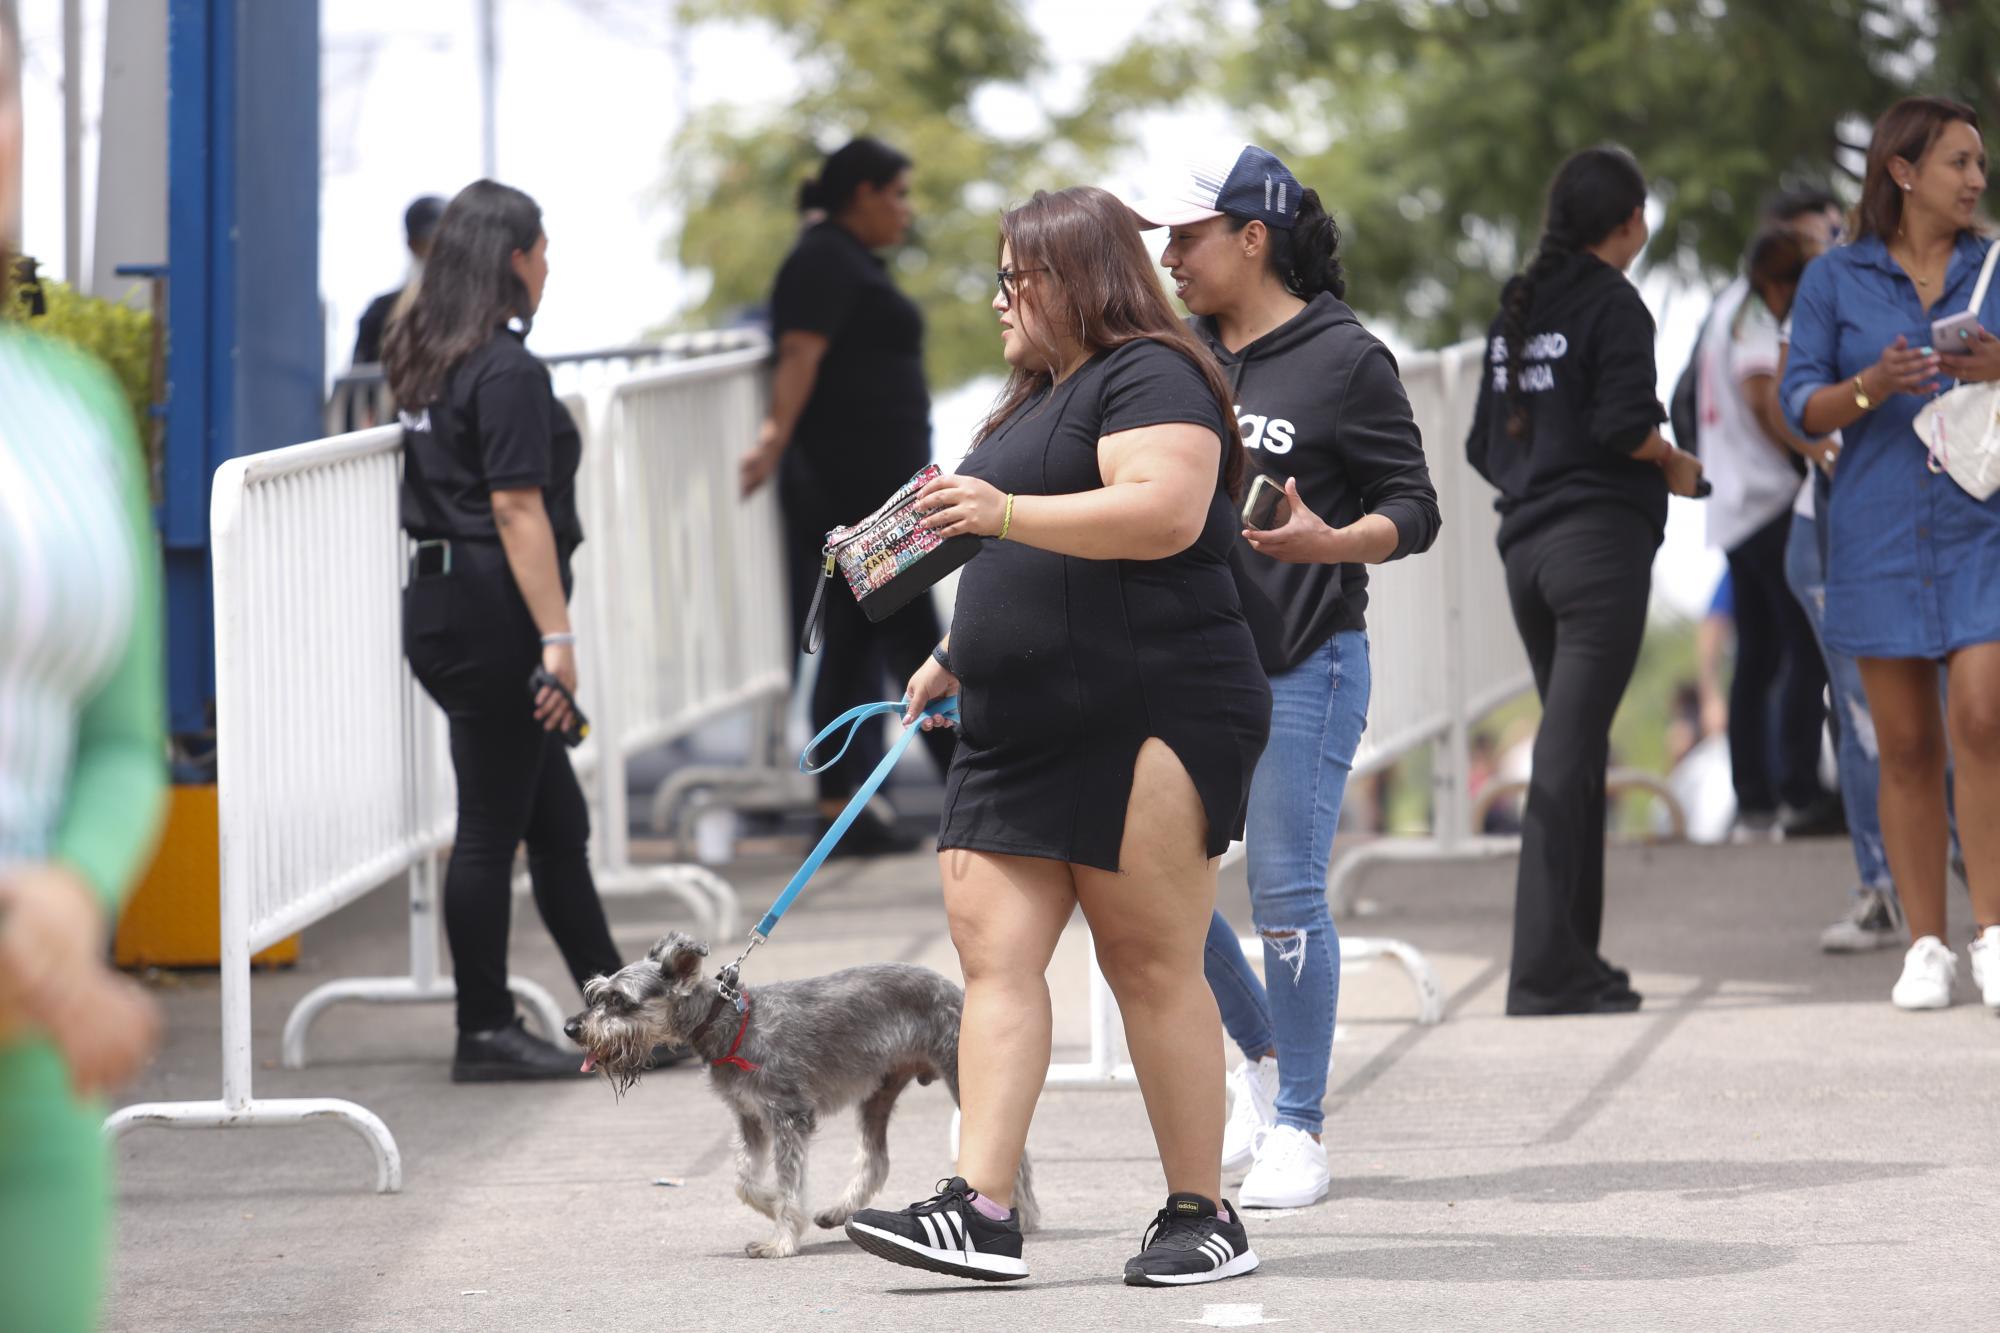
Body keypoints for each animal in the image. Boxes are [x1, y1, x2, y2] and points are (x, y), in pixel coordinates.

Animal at [560, 928, 1032, 1248]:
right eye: (597, 994)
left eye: (619, 1001)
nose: (570, 1028)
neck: (730, 1024)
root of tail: (954, 988)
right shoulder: (750, 1117)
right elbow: (744, 1180)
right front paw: (773, 1205)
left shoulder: (788, 1115)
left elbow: (787, 1179)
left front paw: (781, 1240)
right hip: (878, 1093)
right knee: (876, 1159)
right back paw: (840, 1211)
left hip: (960, 1075)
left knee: (1012, 1146)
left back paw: (1024, 1215)